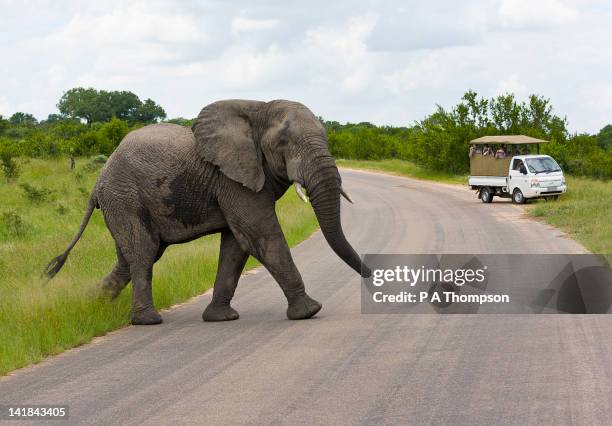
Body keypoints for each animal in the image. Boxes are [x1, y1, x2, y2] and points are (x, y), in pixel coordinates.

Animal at [45, 100, 370, 326]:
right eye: (283, 144)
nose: (372, 276)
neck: (259, 109)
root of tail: (98, 180)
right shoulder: (231, 179)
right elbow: (261, 235)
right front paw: (309, 311)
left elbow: (237, 245)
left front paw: (221, 318)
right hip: (124, 196)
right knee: (142, 252)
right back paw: (147, 321)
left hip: (123, 201)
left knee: (133, 257)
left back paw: (90, 306)